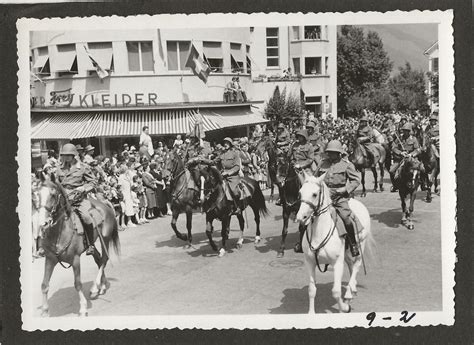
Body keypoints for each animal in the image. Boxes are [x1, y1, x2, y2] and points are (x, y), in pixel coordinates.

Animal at [35, 176, 120, 316]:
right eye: (36, 194)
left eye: (53, 195)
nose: (43, 223)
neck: (59, 232)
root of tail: (103, 203)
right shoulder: (50, 259)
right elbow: (44, 285)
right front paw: (45, 311)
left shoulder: (75, 260)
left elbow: (78, 284)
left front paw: (83, 308)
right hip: (92, 245)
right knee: (98, 259)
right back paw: (101, 286)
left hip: (105, 238)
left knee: (104, 259)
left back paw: (95, 287)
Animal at [296, 173, 374, 314]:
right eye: (300, 193)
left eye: (315, 194)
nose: (300, 218)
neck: (319, 233)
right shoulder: (309, 262)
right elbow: (311, 290)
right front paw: (311, 313)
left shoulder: (337, 263)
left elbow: (336, 292)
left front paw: (344, 307)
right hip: (347, 251)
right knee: (351, 265)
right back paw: (352, 288)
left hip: (361, 244)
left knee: (357, 265)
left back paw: (348, 294)